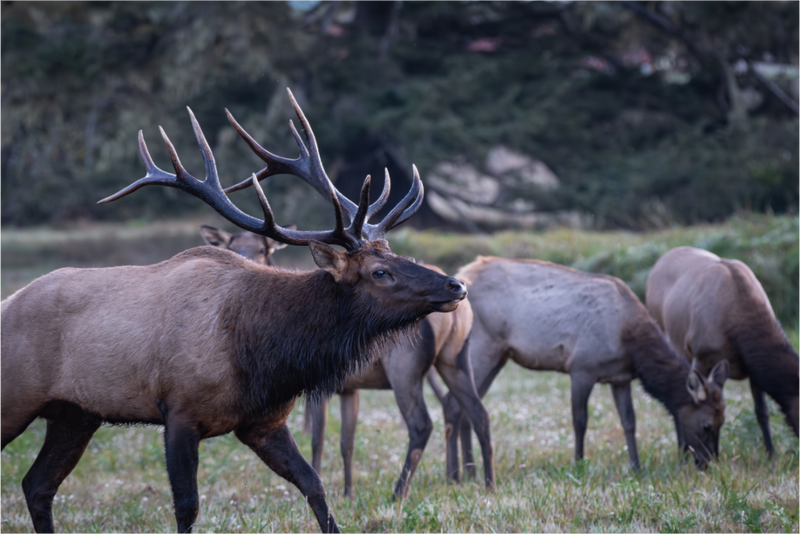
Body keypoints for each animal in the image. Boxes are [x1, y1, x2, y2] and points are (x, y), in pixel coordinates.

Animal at [0, 89, 467, 534]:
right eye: (380, 271)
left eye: (400, 254)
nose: (456, 284)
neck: (261, 352)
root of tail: (8, 302)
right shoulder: (179, 411)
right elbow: (187, 507)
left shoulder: (263, 422)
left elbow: (315, 485)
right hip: (16, 400)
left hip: (75, 414)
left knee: (37, 484)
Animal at [308, 265, 494, 500]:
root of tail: (458, 313)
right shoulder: (349, 388)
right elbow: (346, 443)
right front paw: (348, 493)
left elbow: (317, 440)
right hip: (455, 360)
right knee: (480, 413)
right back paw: (490, 485)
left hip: (404, 369)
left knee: (422, 424)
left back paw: (398, 493)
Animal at [444, 256, 729, 474]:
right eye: (706, 425)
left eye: (723, 421)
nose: (709, 464)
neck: (630, 342)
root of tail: (463, 273)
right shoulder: (581, 368)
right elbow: (580, 420)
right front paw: (579, 463)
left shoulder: (620, 378)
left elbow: (629, 421)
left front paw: (636, 467)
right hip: (481, 348)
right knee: (453, 402)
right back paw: (456, 475)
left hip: (498, 356)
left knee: (465, 407)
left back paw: (469, 471)